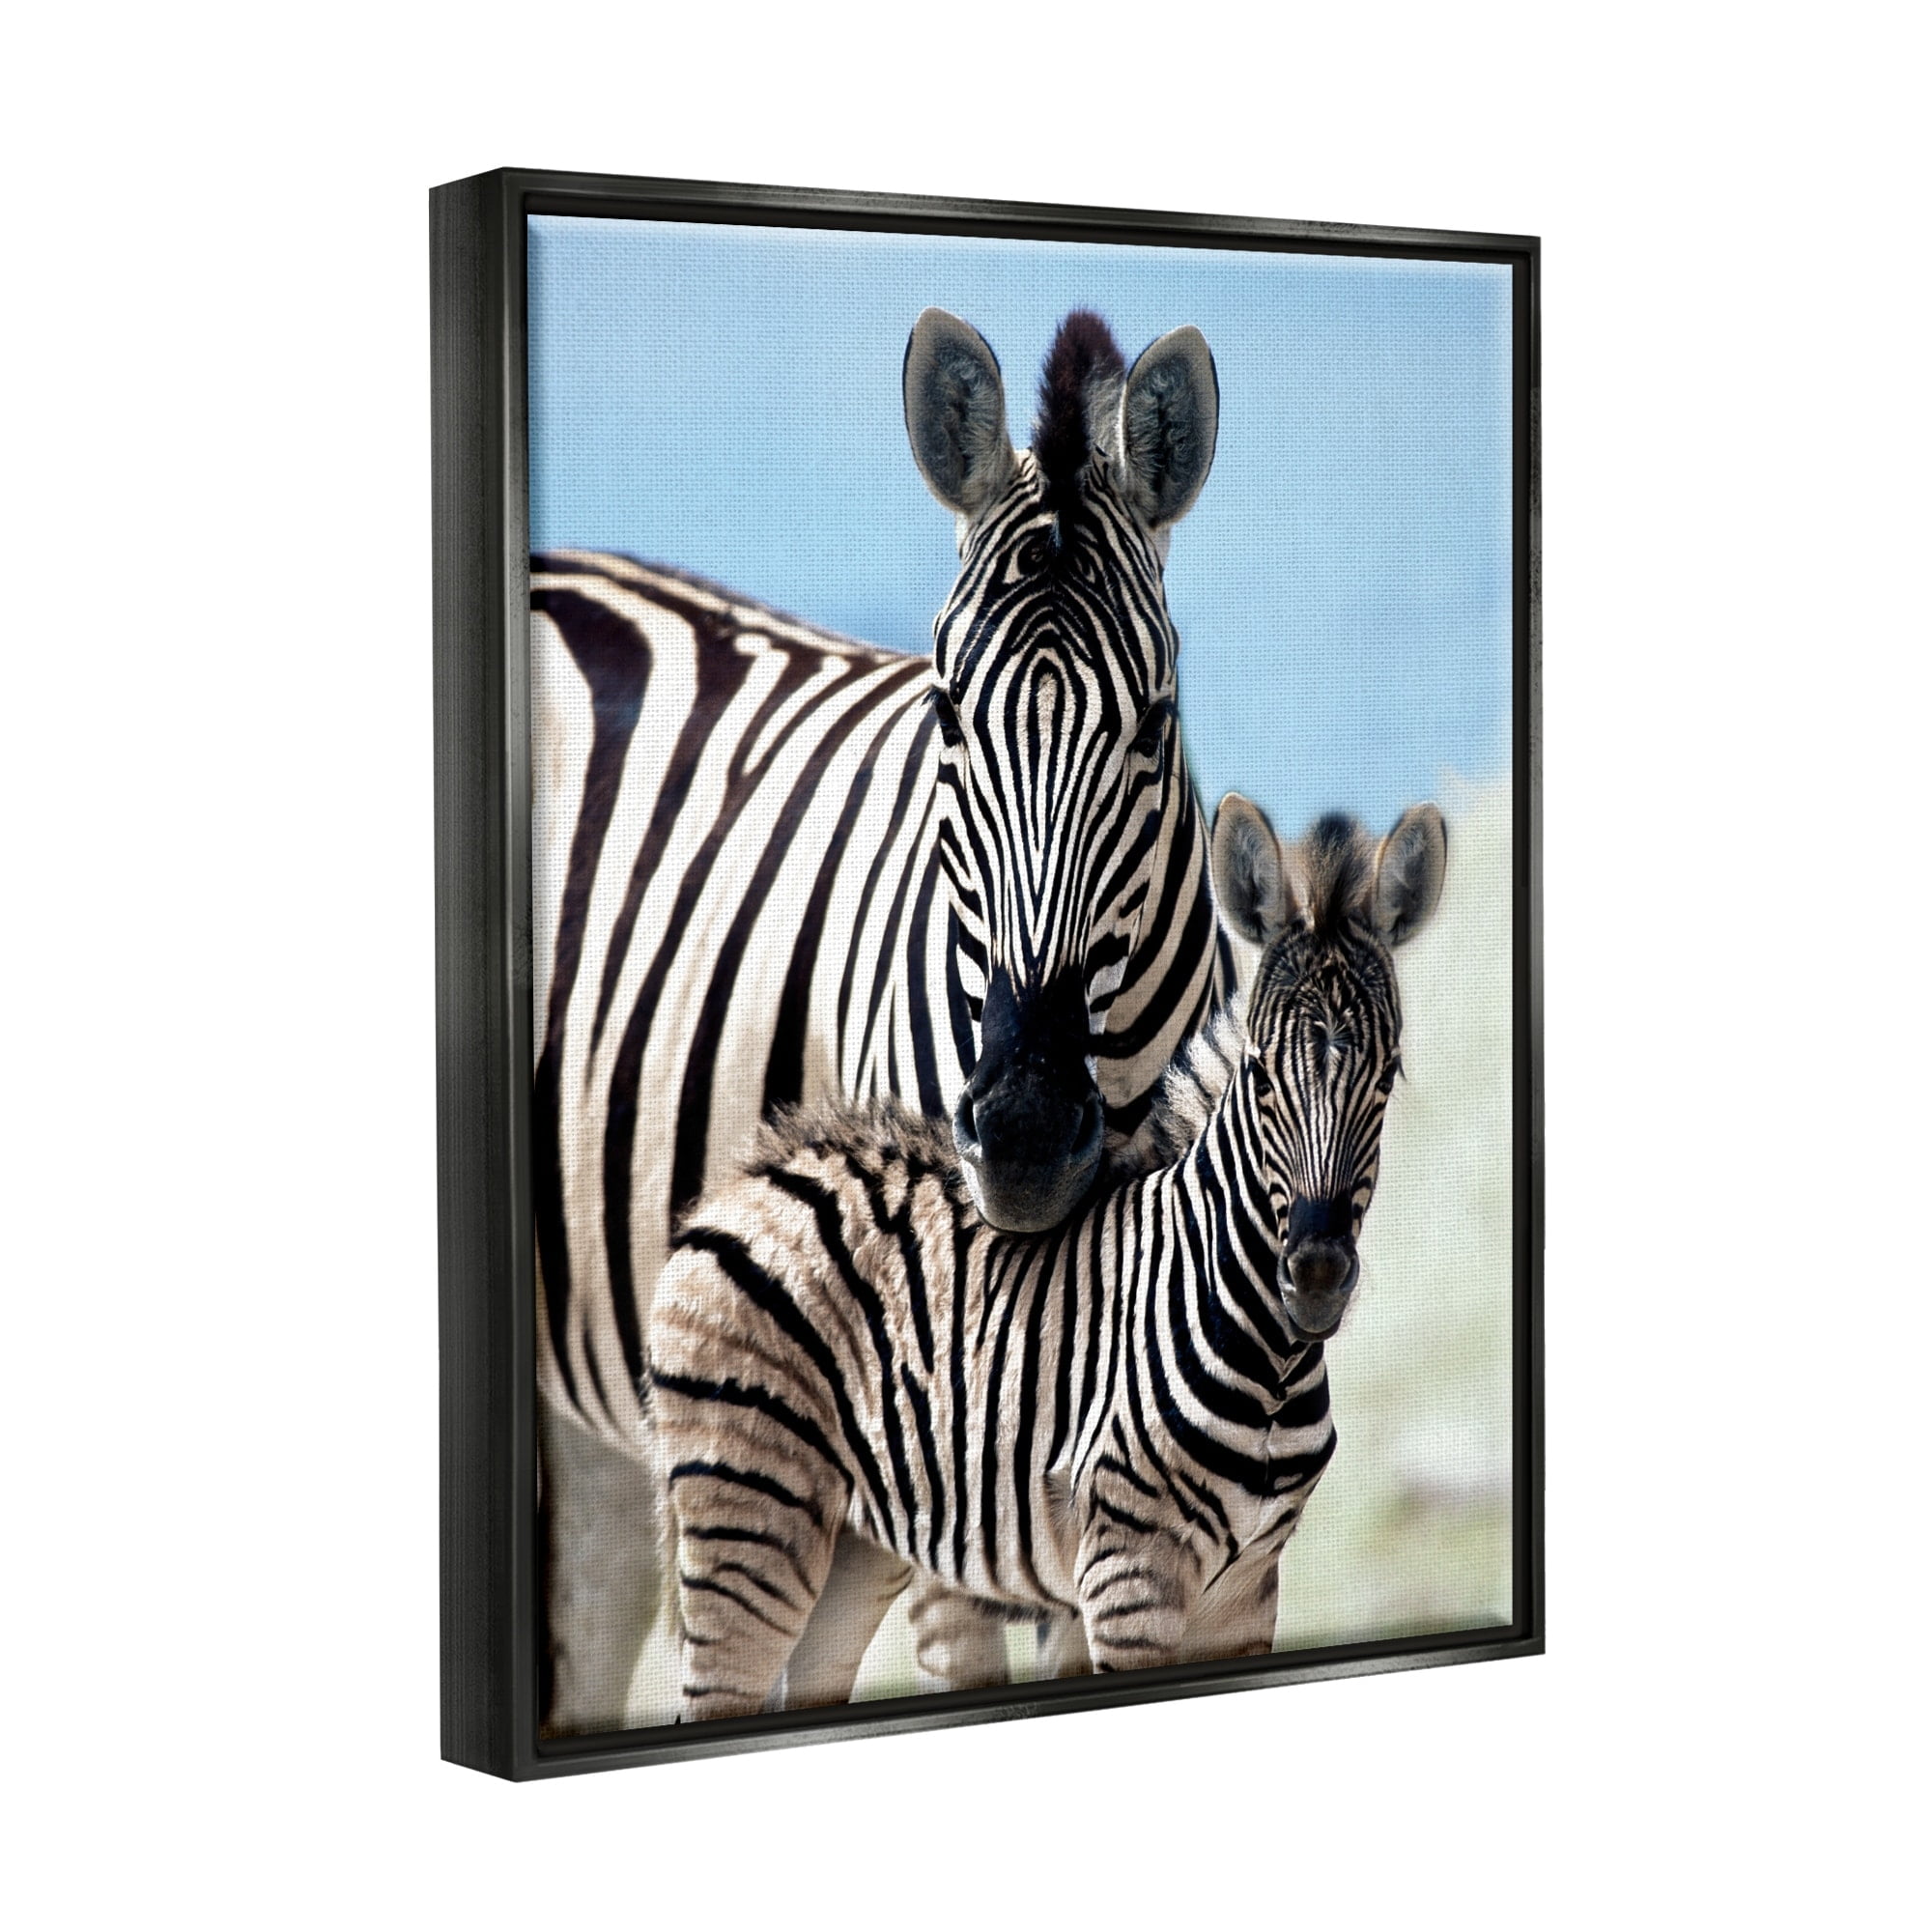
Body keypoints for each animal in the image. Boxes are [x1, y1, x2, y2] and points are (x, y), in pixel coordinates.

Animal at [648, 794, 1448, 1718]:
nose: (1315, 1275)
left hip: (852, 1546)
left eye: (1388, 1076)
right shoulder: (1129, 1572)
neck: (1270, 1358)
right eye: (1259, 1076)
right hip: (746, 1516)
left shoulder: (1249, 1587)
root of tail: (743, 1182)